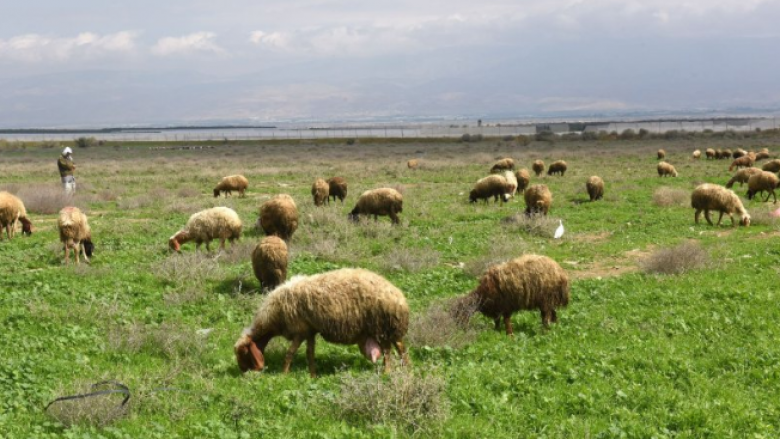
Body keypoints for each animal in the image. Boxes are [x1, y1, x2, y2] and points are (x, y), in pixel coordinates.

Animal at [235, 270, 412, 376]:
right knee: (400, 347)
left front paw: (283, 374)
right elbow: (310, 353)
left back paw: (387, 372)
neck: (272, 316)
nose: (242, 372)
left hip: (381, 326)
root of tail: (400, 298)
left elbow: (290, 353)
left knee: (388, 351)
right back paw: (406, 368)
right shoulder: (309, 331)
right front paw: (312, 375)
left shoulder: (299, 330)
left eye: (243, 353)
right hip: (388, 329)